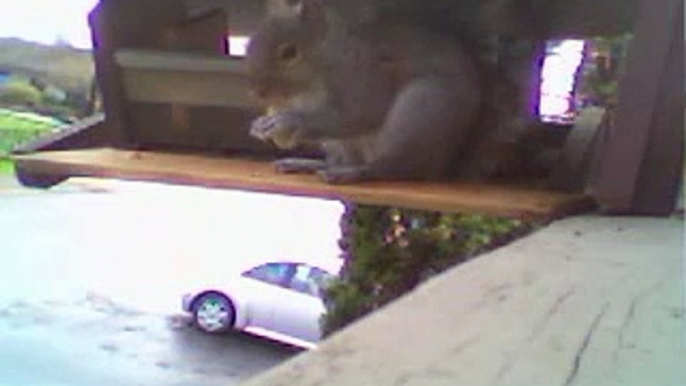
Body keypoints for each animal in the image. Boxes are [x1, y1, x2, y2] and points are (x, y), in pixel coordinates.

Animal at [249, 0, 506, 183]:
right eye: (250, 46)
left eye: (290, 53)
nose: (259, 91)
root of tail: (443, 164)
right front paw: (261, 124)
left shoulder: (363, 75)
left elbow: (358, 113)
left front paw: (288, 121)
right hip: (342, 144)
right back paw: (310, 165)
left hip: (417, 116)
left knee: (392, 168)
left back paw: (353, 174)